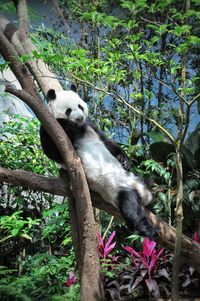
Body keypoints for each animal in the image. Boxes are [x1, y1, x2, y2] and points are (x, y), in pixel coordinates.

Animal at [39, 84, 157, 237]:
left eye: (80, 106)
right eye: (68, 110)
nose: (79, 118)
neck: (80, 128)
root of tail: (141, 192)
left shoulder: (90, 125)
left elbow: (106, 140)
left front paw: (125, 161)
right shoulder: (52, 129)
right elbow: (52, 151)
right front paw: (67, 124)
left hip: (135, 180)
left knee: (147, 189)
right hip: (118, 190)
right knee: (130, 204)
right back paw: (146, 229)